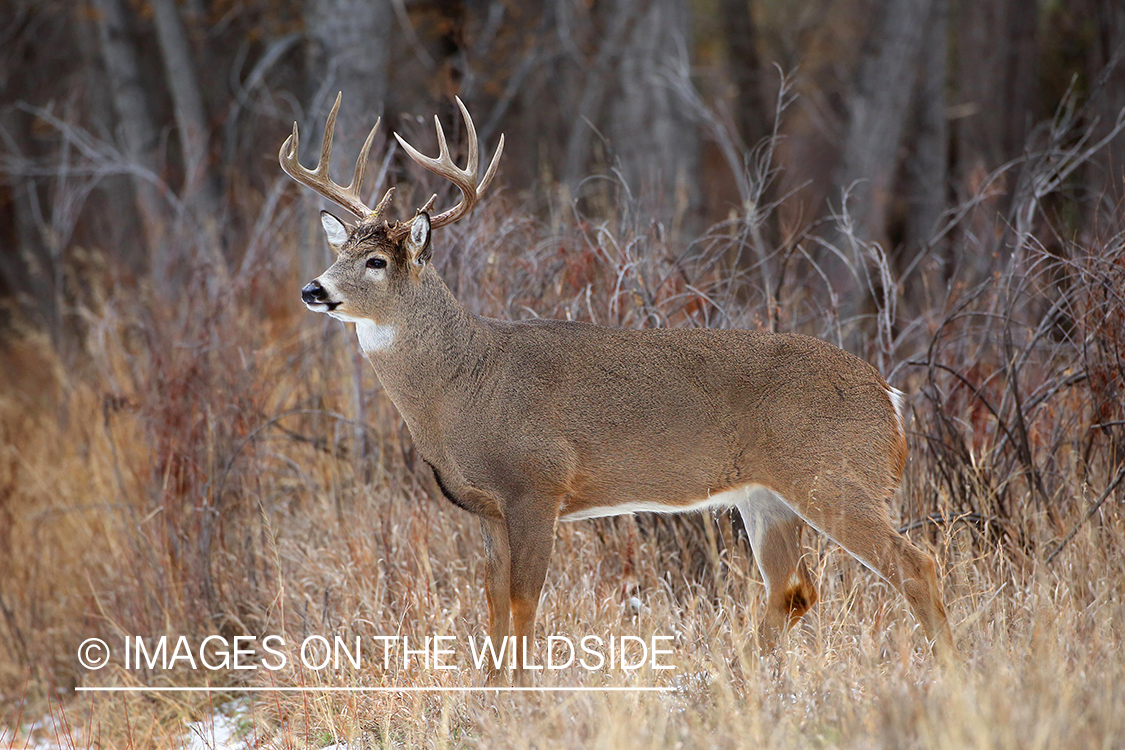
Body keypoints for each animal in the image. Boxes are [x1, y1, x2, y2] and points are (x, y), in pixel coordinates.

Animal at [279, 93, 949, 688]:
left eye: (377, 262)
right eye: (341, 250)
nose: (312, 289)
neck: (465, 385)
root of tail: (889, 397)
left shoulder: (538, 484)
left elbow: (523, 603)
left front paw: (522, 698)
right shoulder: (489, 508)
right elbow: (492, 604)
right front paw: (487, 693)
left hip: (834, 477)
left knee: (915, 564)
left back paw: (954, 671)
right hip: (767, 496)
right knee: (794, 588)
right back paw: (735, 679)